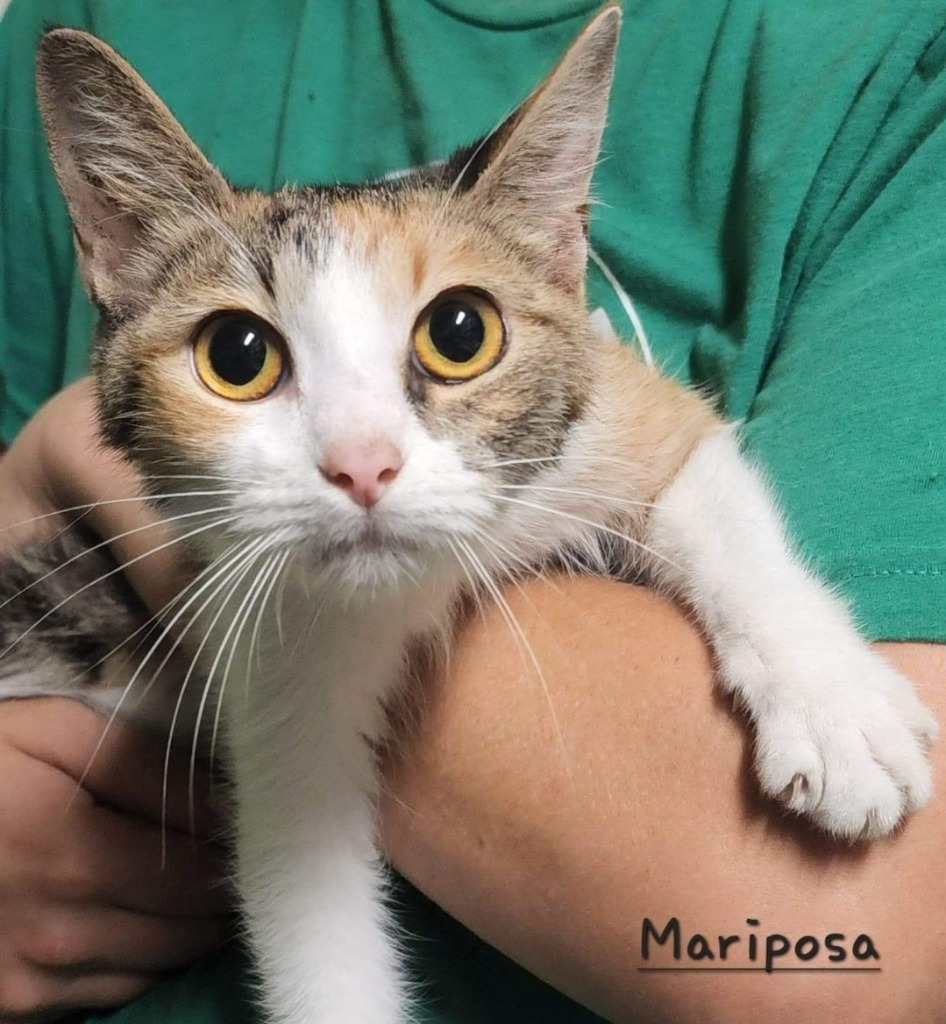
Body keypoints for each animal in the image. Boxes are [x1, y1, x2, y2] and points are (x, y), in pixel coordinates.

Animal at [0, 8, 933, 1024]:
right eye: (236, 354)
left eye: (461, 333)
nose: (363, 464)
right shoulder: (279, 656)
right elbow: (307, 897)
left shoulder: (615, 410)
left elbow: (708, 488)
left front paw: (835, 708)